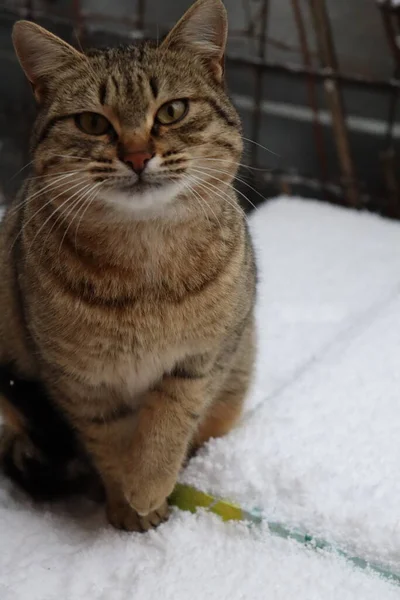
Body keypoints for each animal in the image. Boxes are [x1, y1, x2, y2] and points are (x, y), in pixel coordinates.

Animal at [0, 0, 256, 532]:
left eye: (172, 111)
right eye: (92, 123)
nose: (138, 156)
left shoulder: (202, 359)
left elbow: (169, 424)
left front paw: (151, 485)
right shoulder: (80, 383)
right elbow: (111, 444)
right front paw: (129, 504)